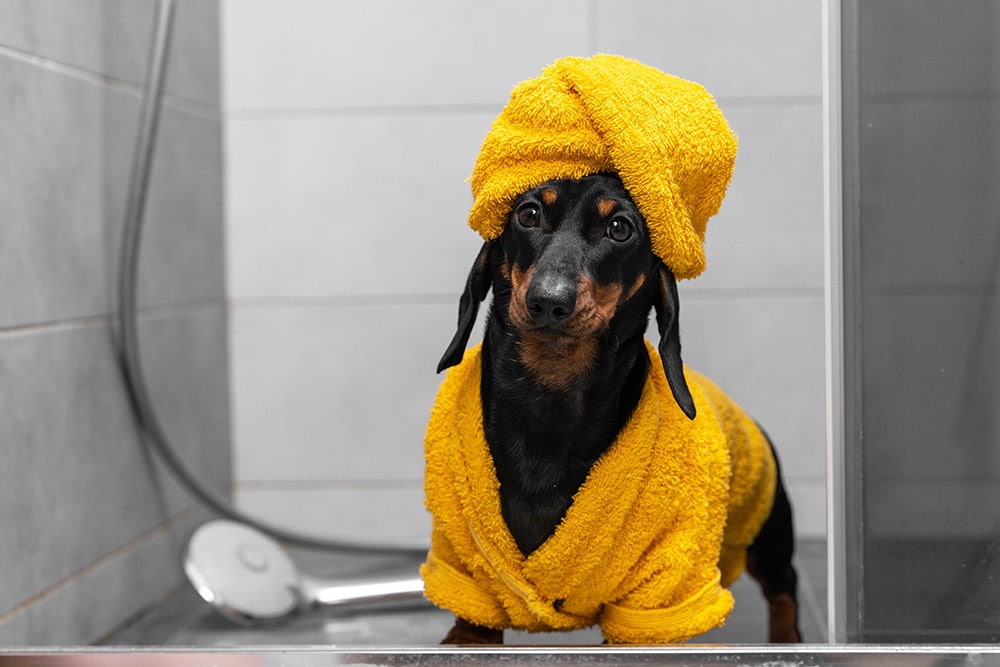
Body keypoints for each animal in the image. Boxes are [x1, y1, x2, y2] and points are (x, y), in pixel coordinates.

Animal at [430, 175, 804, 644]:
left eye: (620, 228)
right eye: (527, 214)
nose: (548, 301)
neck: (550, 403)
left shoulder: (657, 590)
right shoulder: (466, 564)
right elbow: (473, 618)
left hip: (766, 530)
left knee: (784, 589)